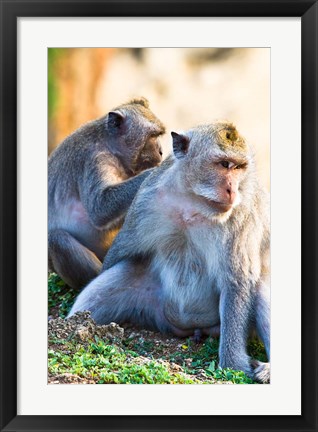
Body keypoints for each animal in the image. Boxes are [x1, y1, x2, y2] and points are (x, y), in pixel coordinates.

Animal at [48, 98, 165, 290]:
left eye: (158, 135)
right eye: (152, 136)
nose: (161, 151)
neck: (109, 145)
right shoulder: (95, 159)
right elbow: (100, 208)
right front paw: (155, 172)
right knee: (56, 239)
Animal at [68, 120, 270, 382]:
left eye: (239, 168)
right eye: (224, 164)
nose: (232, 190)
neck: (192, 204)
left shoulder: (240, 216)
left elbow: (238, 280)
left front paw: (233, 364)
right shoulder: (146, 200)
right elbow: (119, 254)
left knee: (260, 285)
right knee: (119, 276)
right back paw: (79, 326)